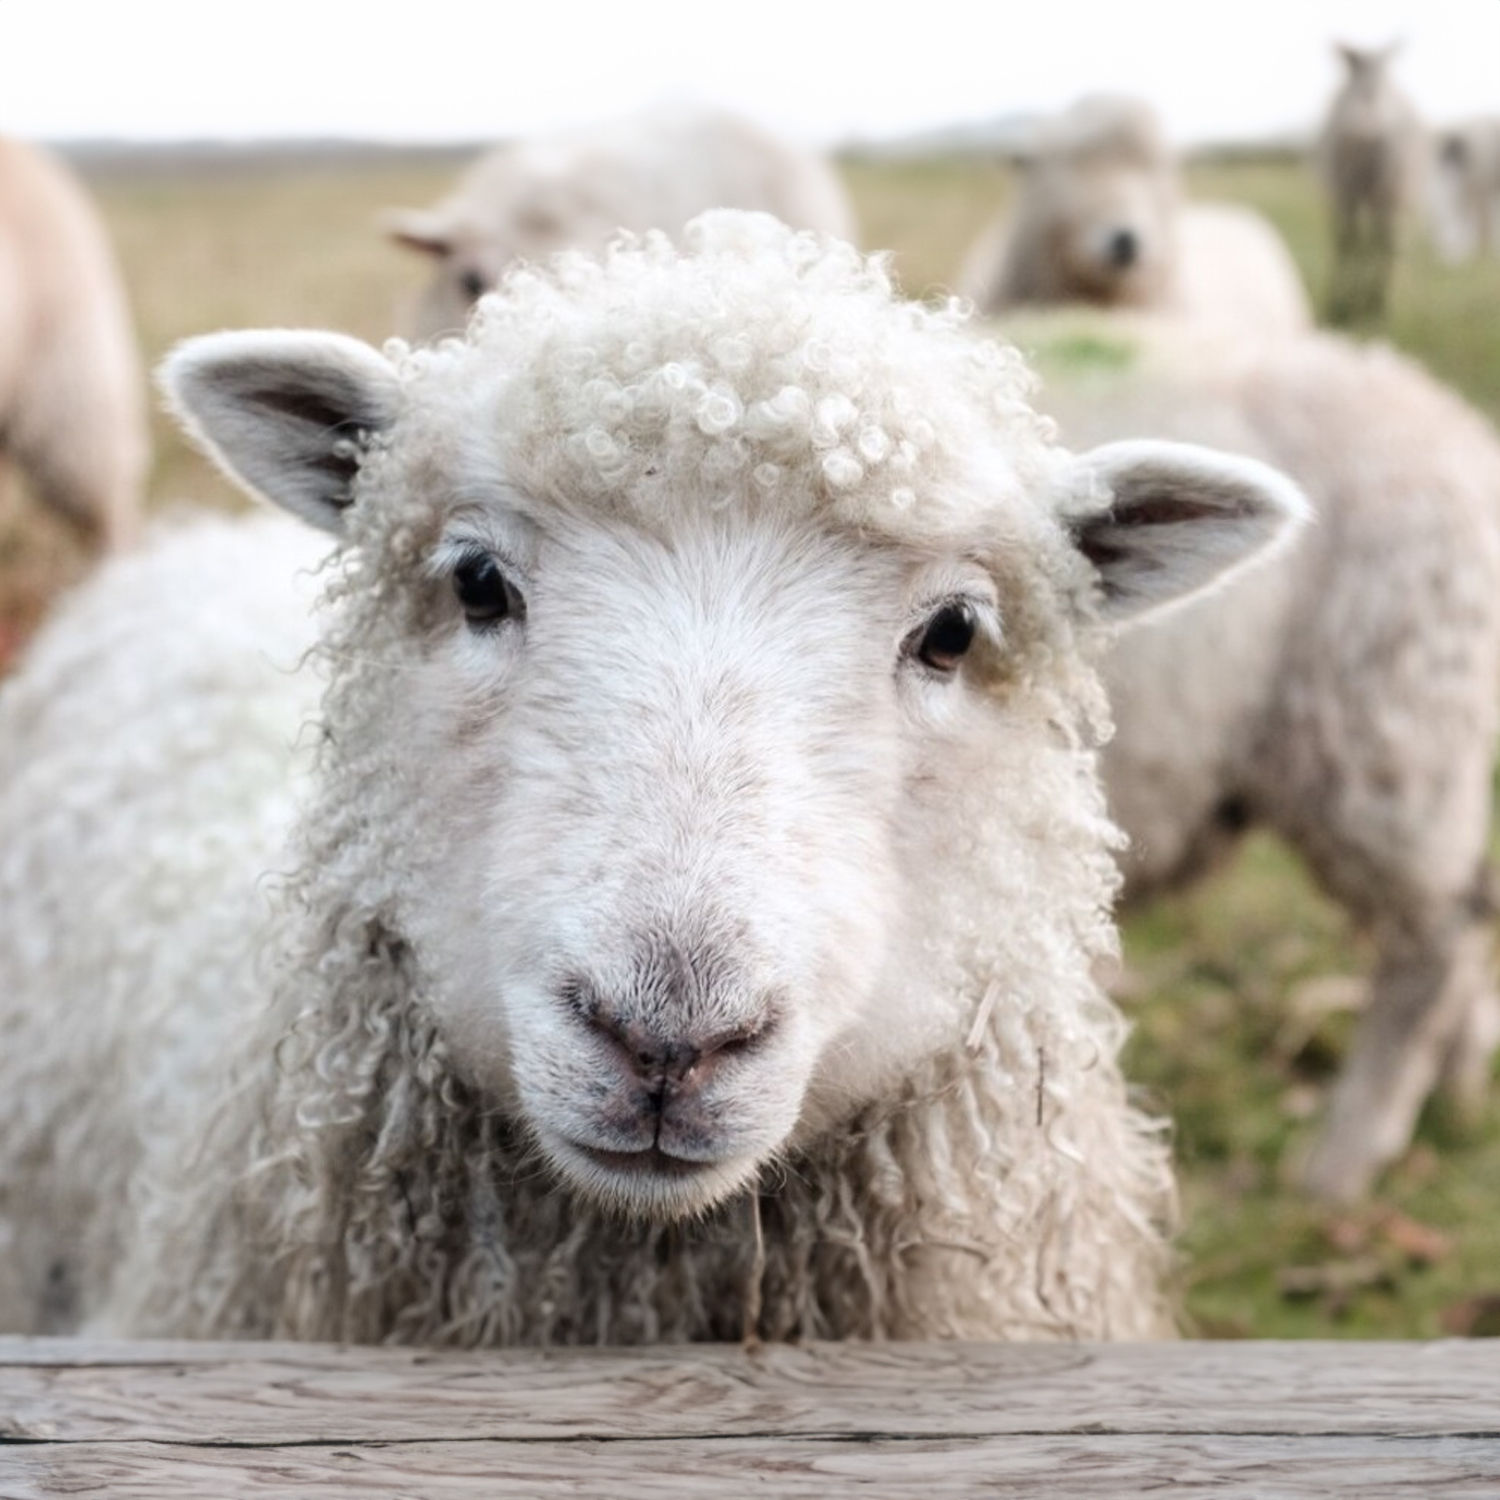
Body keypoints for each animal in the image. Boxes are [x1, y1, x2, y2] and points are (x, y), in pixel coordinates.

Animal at [1317, 42, 1426, 325]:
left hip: (1368, 189)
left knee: (1361, 241)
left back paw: (1361, 302)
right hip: (1385, 189)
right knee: (1383, 242)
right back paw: (1375, 304)